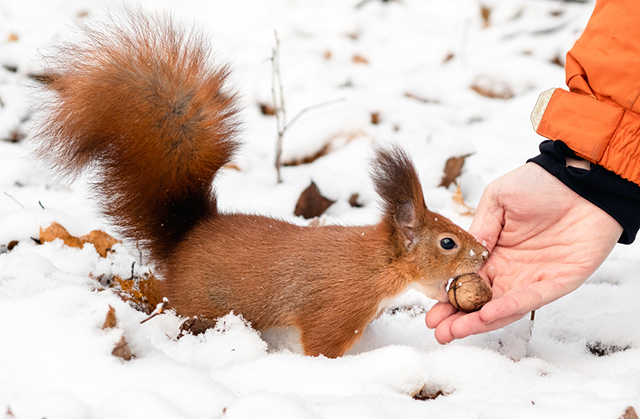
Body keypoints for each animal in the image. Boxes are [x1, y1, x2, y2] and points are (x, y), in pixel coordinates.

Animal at [32, 12, 488, 358]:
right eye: (448, 242)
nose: (484, 254)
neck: (377, 264)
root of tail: (185, 240)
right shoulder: (338, 307)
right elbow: (322, 346)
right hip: (201, 304)